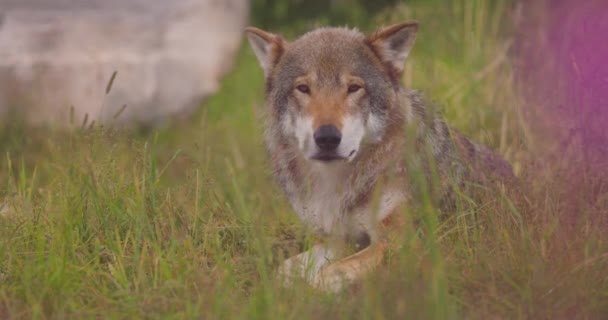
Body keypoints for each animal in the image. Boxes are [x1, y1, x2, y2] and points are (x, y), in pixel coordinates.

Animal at [245, 20, 510, 292]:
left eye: (354, 88)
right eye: (303, 89)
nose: (327, 137)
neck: (337, 185)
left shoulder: (402, 242)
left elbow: (330, 274)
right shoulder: (338, 240)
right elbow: (282, 271)